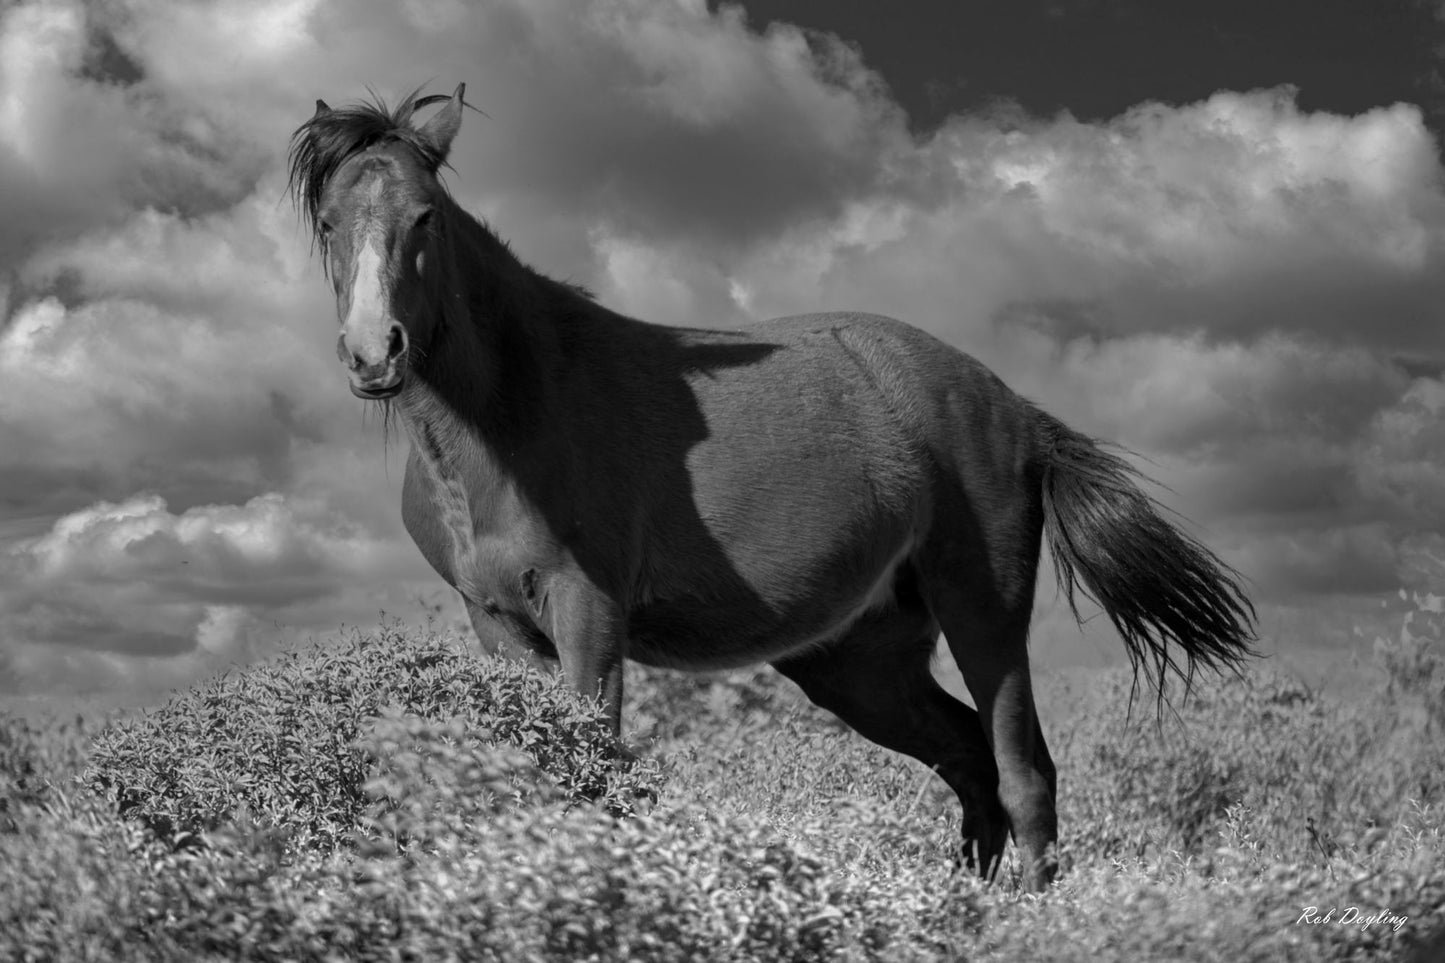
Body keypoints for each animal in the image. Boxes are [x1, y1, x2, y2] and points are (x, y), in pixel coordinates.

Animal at [287, 84, 1256, 891]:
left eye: (424, 217)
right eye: (329, 221)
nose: (374, 352)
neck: (512, 413)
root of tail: (1009, 405)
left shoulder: (588, 612)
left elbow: (592, 778)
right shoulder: (498, 626)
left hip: (982, 610)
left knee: (1022, 772)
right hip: (858, 659)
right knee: (970, 764)